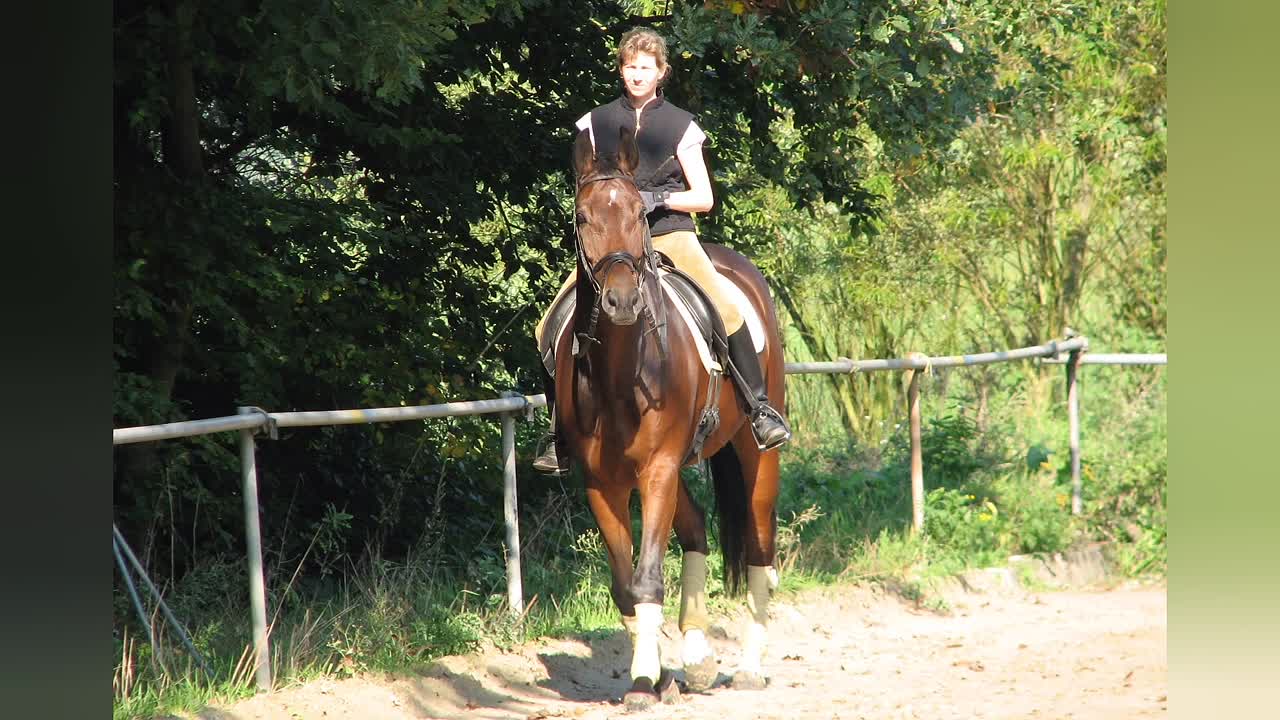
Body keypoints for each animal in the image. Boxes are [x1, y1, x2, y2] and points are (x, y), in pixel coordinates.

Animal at [553, 125, 786, 709]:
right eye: (582, 217)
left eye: (641, 212)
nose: (621, 302)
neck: (621, 372)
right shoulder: (603, 483)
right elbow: (625, 585)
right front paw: (654, 673)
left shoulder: (656, 470)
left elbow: (648, 576)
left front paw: (642, 681)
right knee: (698, 528)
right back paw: (698, 660)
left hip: (754, 455)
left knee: (759, 545)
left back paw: (748, 667)